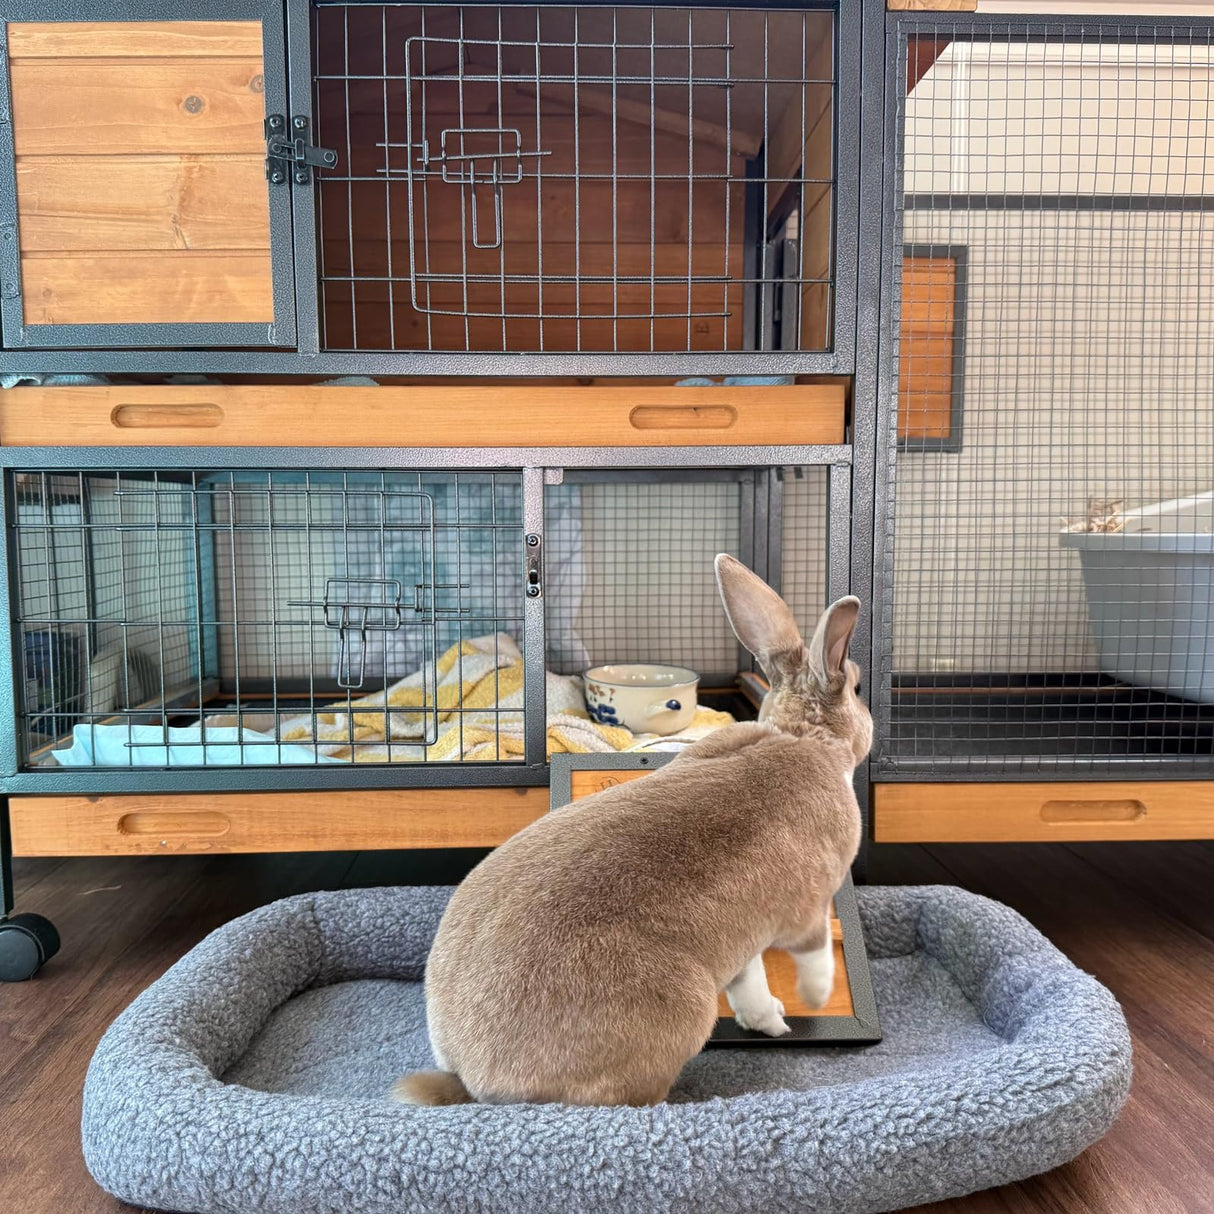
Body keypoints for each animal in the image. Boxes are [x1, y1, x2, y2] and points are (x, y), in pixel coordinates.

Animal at [393, 554, 871, 1108]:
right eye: (859, 689)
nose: (870, 717)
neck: (803, 736)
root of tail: (470, 1076)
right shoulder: (810, 902)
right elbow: (815, 952)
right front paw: (814, 999)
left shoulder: (747, 936)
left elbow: (749, 980)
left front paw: (771, 1021)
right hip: (682, 1009)